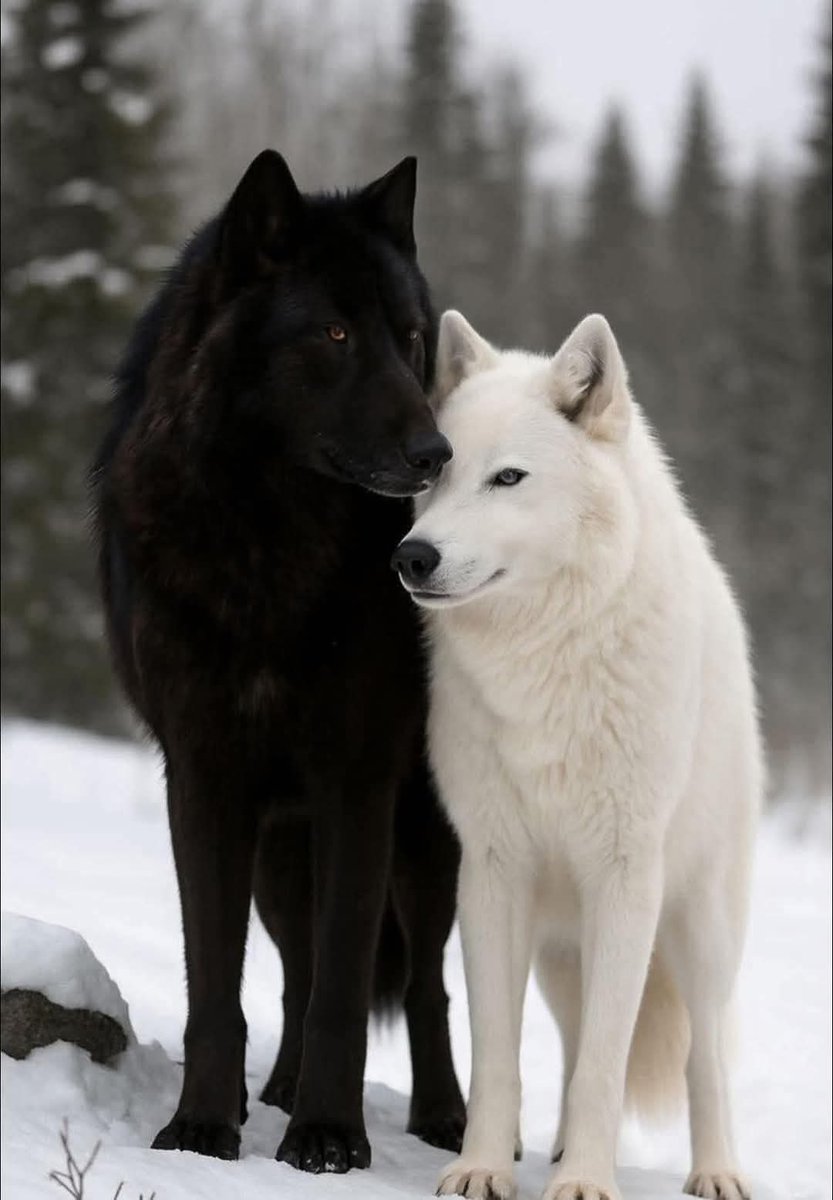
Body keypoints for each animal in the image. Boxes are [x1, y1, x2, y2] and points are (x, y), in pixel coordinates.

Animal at [91, 152, 465, 1172]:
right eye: (333, 332)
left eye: (409, 338)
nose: (437, 453)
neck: (270, 543)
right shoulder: (204, 779)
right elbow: (218, 989)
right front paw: (201, 1130)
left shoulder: (357, 785)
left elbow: (345, 990)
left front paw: (329, 1139)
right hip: (277, 855)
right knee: (295, 970)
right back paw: (279, 1091)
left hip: (421, 840)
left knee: (422, 985)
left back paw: (443, 1120)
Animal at [392, 310, 762, 1200]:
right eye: (436, 473)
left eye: (507, 478)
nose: (412, 557)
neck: (544, 663)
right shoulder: (491, 872)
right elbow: (497, 1053)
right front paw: (484, 1168)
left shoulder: (625, 875)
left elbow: (608, 1062)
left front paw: (589, 1184)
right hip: (560, 952)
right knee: (567, 1044)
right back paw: (556, 1149)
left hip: (697, 929)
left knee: (702, 1057)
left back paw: (715, 1172)